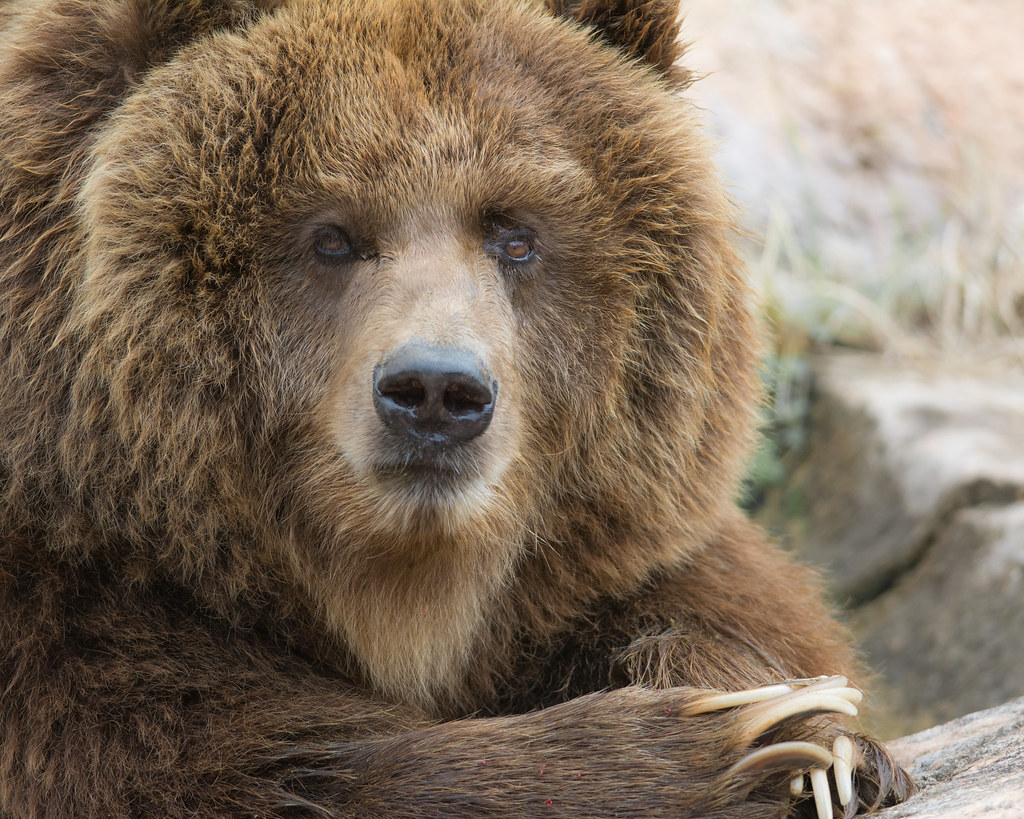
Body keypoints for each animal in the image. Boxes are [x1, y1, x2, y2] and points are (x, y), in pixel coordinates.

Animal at [0, 0, 913, 814]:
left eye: (514, 231)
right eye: (332, 232)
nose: (437, 391)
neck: (404, 605)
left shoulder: (627, 557)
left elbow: (722, 615)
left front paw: (814, 737)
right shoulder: (76, 629)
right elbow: (234, 759)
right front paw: (717, 745)